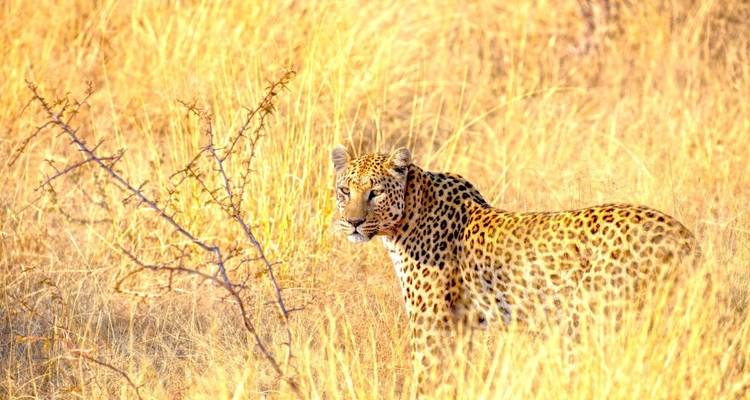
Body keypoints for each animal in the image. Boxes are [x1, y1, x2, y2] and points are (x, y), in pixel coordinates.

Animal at [331, 146, 700, 391]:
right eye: (345, 190)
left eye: (375, 192)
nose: (353, 222)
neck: (405, 220)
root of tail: (682, 235)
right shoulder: (459, 326)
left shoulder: (431, 325)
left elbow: (426, 378)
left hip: (598, 320)